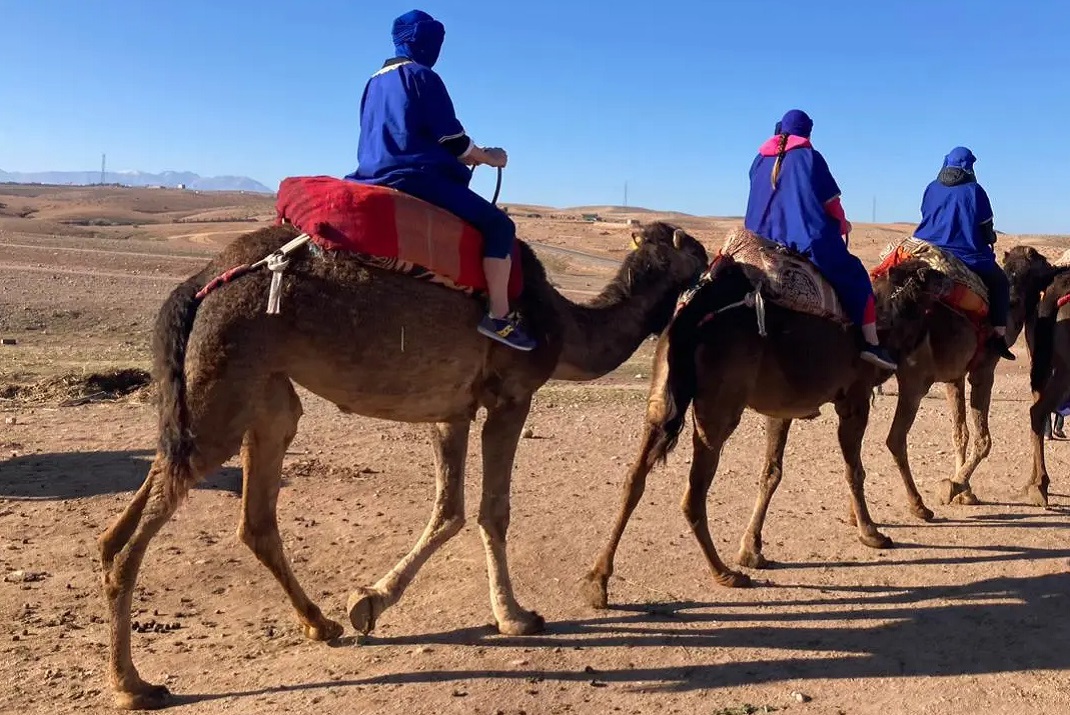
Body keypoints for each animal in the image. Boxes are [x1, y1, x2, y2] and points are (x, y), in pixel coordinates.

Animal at [96, 179, 706, 710]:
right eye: (696, 252)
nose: (719, 263)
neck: (562, 323)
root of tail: (199, 282)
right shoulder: (511, 395)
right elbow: (493, 511)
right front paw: (515, 617)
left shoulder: (451, 409)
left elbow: (449, 511)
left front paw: (368, 603)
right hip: (224, 381)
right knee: (141, 534)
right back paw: (133, 686)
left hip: (256, 394)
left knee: (233, 516)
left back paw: (320, 623)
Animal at [1001, 246, 1070, 507]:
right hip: (1065, 368)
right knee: (1038, 411)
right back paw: (1040, 486)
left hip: (1041, 361)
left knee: (1035, 412)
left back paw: (1034, 483)